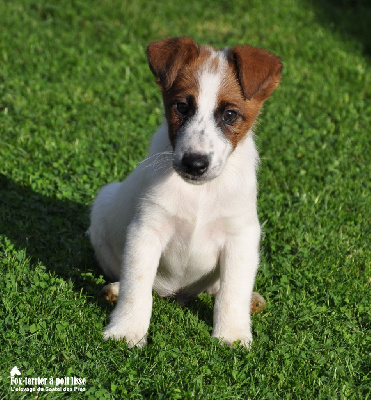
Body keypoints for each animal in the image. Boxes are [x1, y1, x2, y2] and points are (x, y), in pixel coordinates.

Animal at [90, 37, 282, 346]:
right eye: (181, 107)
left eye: (230, 115)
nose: (195, 163)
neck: (200, 193)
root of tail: (176, 293)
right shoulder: (146, 230)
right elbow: (137, 288)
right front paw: (126, 330)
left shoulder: (241, 236)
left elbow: (232, 293)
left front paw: (232, 335)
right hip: (103, 206)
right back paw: (114, 290)